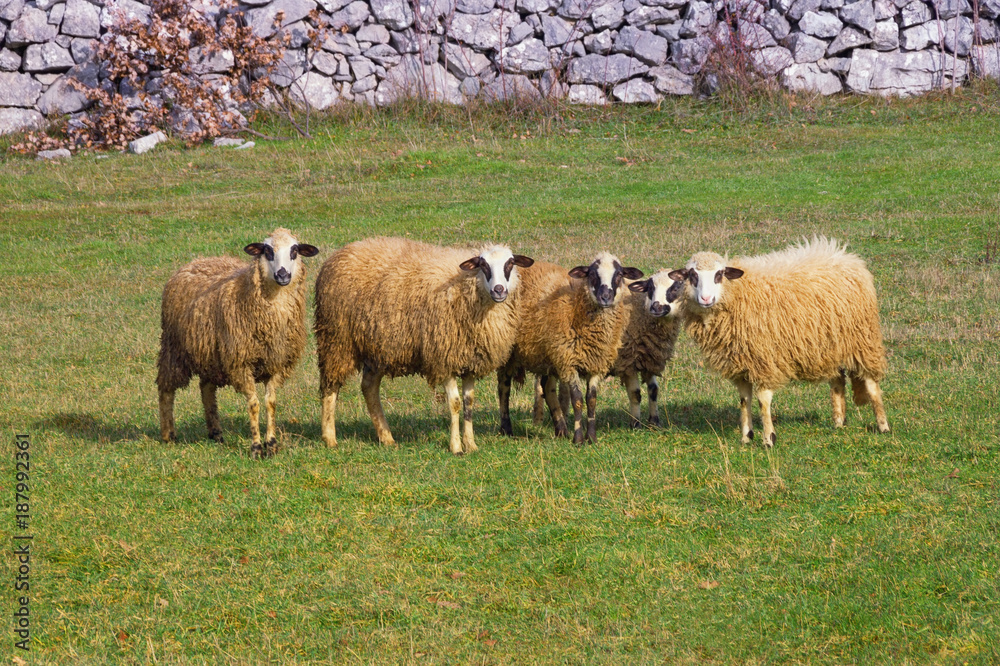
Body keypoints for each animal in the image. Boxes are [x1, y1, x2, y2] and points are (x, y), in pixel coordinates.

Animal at [156, 228, 319, 458]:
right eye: (267, 250)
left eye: (294, 250)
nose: (283, 275)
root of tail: (198, 261)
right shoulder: (240, 363)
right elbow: (254, 404)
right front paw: (256, 447)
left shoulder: (276, 363)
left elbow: (271, 403)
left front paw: (272, 445)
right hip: (173, 347)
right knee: (166, 389)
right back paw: (168, 434)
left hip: (211, 356)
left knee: (206, 388)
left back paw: (216, 433)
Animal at [313, 237, 534, 455]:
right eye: (483, 265)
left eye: (510, 263)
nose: (499, 290)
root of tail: (340, 253)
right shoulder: (443, 357)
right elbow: (454, 404)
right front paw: (456, 447)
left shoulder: (469, 360)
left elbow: (469, 403)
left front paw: (471, 445)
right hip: (337, 339)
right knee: (330, 386)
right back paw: (329, 438)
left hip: (377, 347)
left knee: (369, 386)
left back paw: (386, 437)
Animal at [498, 253, 644, 444]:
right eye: (592, 274)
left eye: (619, 275)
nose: (605, 297)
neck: (577, 308)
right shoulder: (569, 362)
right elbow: (577, 400)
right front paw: (579, 439)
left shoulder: (595, 363)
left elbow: (592, 400)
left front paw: (592, 438)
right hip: (508, 351)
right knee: (503, 387)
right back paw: (506, 429)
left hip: (549, 355)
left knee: (547, 388)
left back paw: (561, 430)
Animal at [669, 236, 890, 446]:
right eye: (692, 275)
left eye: (719, 274)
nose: (706, 299)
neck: (739, 292)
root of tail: (846, 256)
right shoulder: (740, 363)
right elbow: (744, 400)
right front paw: (746, 436)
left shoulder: (763, 359)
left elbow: (762, 400)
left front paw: (769, 438)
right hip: (828, 344)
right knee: (837, 380)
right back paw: (838, 421)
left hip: (862, 339)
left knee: (871, 382)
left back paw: (883, 425)